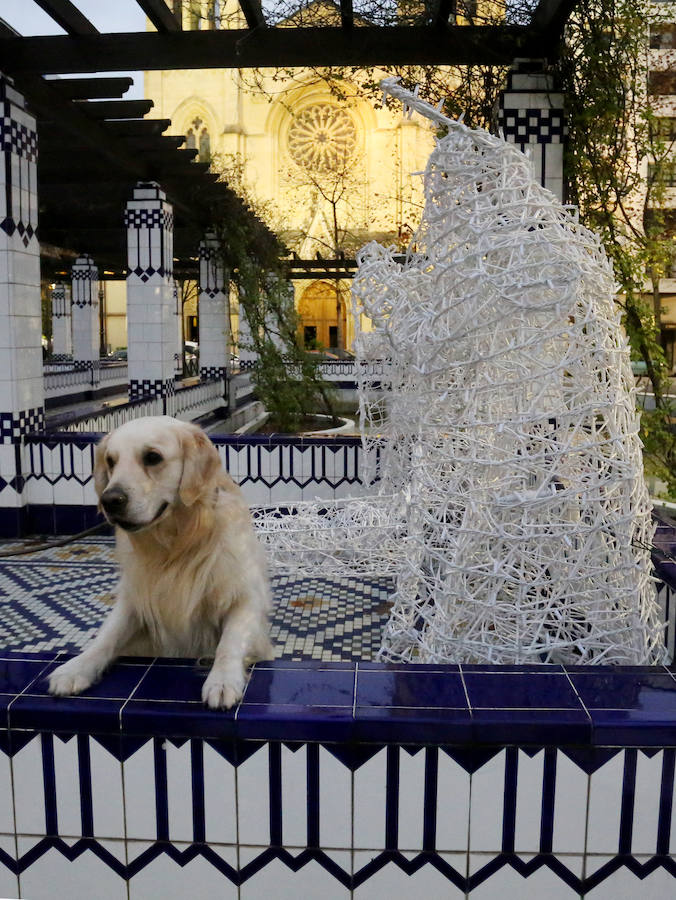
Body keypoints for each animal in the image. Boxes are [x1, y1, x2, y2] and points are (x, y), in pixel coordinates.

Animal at [47, 416, 272, 712]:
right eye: (111, 461)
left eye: (152, 457)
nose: (110, 500)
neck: (176, 546)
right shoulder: (135, 598)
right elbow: (106, 637)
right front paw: (75, 667)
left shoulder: (246, 596)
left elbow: (229, 642)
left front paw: (222, 680)